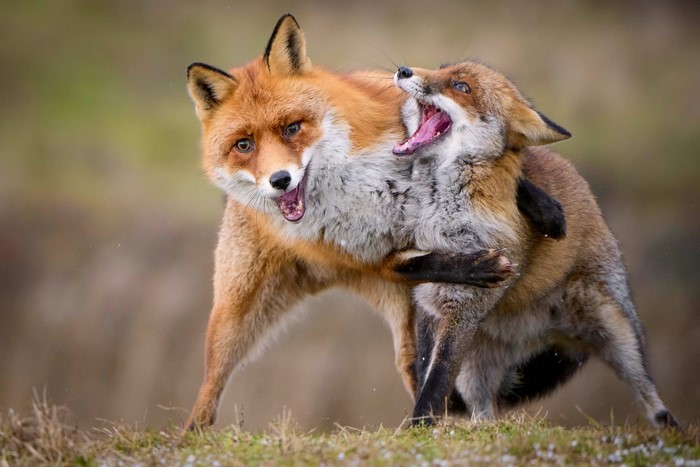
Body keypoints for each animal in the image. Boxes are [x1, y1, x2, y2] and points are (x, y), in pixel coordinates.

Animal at [183, 14, 567, 430]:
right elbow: (422, 262)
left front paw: (545, 209)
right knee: (210, 383)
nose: (280, 180)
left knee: (416, 366)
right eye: (244, 145)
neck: (352, 188)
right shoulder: (365, 254)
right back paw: (193, 433)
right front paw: (479, 267)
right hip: (235, 314)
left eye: (292, 128)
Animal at [392, 61, 679, 428]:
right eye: (442, 68)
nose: (404, 70)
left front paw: (420, 427)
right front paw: (422, 425)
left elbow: (437, 377)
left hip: (616, 328)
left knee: (650, 395)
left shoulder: (463, 308)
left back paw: (668, 430)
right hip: (477, 367)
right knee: (483, 410)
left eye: (461, 86)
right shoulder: (429, 301)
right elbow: (426, 371)